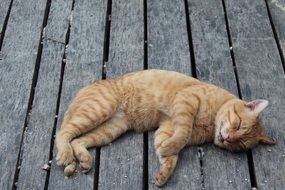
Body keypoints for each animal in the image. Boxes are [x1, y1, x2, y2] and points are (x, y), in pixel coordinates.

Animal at [54, 69, 274, 186]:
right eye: (237, 125)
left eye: (239, 145)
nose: (228, 139)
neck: (211, 125)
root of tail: (84, 89)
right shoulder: (186, 102)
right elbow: (182, 134)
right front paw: (168, 149)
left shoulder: (166, 129)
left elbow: (171, 156)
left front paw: (163, 172)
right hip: (98, 110)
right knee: (63, 132)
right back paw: (65, 155)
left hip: (110, 130)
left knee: (78, 140)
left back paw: (84, 160)